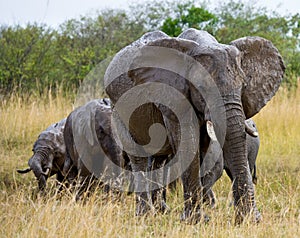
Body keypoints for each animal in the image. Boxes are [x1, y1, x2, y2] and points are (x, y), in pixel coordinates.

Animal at [104, 28, 284, 224]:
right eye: (202, 88)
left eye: (243, 85)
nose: (254, 218)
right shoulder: (173, 95)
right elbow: (188, 143)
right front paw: (195, 221)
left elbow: (206, 148)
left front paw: (247, 220)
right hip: (117, 108)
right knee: (138, 157)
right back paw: (144, 215)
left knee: (159, 158)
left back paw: (161, 211)